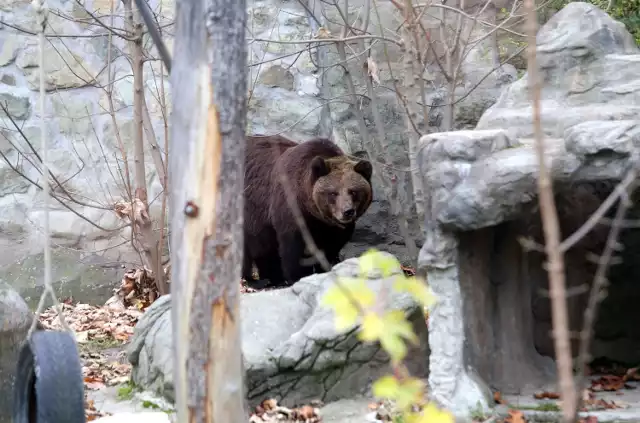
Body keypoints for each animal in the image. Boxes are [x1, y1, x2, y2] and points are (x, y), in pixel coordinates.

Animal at [245, 134, 376, 290]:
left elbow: (331, 246)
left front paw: (326, 269)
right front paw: (296, 276)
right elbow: (292, 249)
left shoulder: (332, 228)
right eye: (333, 193)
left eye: (353, 191)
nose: (347, 211)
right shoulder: (290, 208)